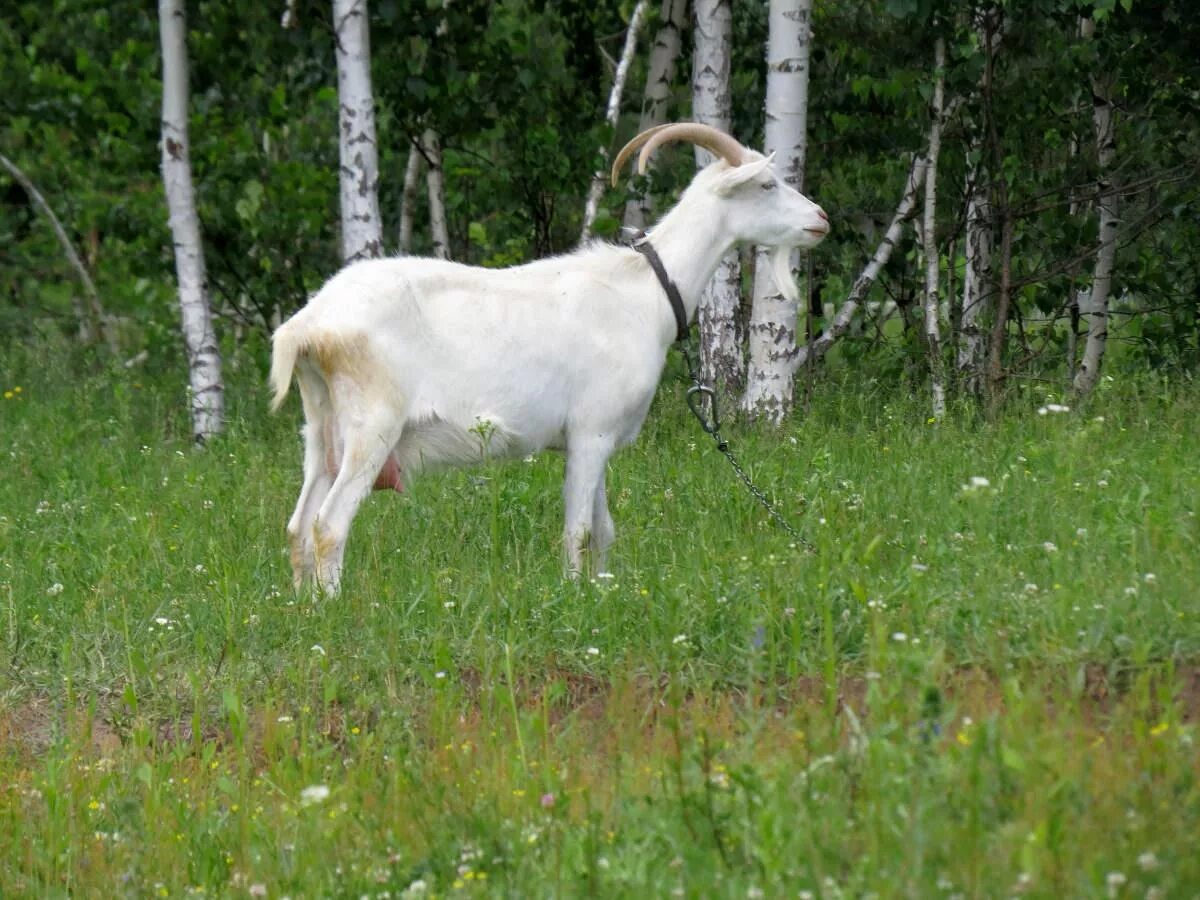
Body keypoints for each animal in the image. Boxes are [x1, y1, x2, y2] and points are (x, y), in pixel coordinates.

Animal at [270, 125, 835, 592]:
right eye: (767, 185)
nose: (821, 220)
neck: (647, 290)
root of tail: (308, 325)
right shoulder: (593, 432)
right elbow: (579, 532)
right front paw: (573, 598)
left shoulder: (594, 440)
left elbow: (605, 530)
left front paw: (602, 593)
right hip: (373, 427)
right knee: (328, 525)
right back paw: (334, 609)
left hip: (320, 427)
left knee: (298, 525)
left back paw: (303, 608)